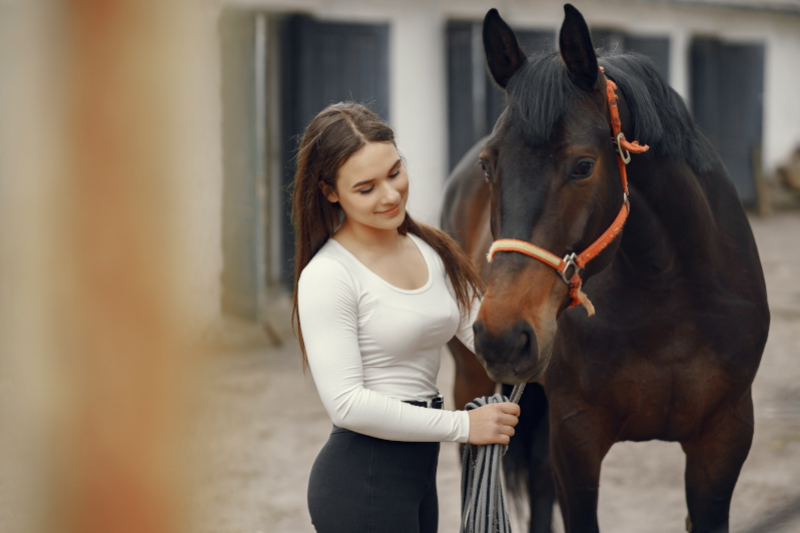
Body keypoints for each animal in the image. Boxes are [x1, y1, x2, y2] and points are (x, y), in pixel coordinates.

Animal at [440, 5, 772, 532]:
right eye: (488, 165)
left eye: (582, 166)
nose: (502, 335)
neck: (667, 296)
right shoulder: (577, 438)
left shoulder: (725, 437)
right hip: (472, 380)